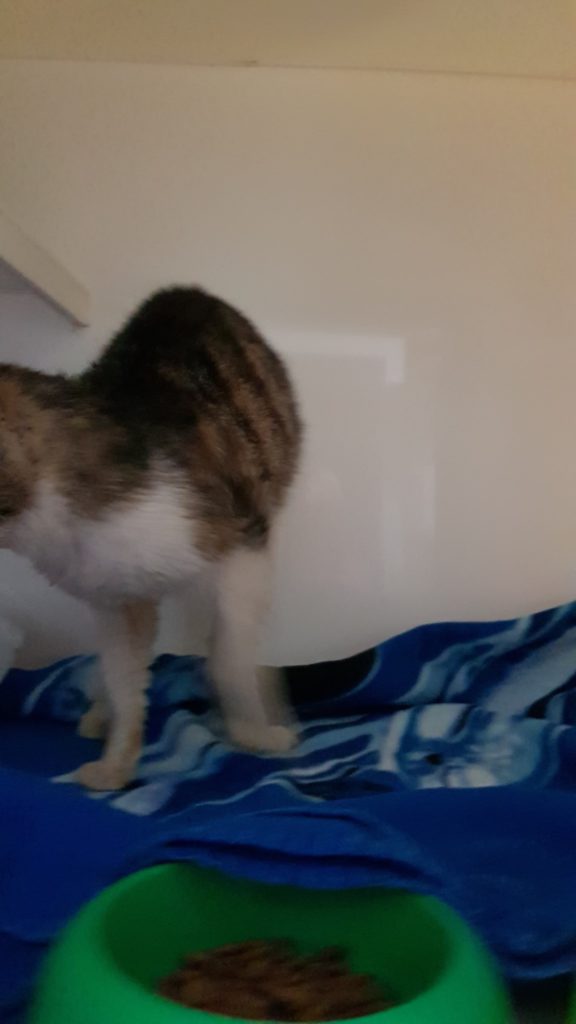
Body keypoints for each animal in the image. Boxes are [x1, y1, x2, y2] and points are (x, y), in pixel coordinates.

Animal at [0, 286, 302, 790]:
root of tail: (186, 291)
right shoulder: (115, 600)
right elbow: (123, 676)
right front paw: (116, 762)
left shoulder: (244, 550)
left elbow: (230, 657)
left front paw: (255, 731)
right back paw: (99, 711)